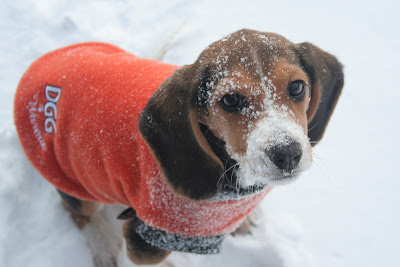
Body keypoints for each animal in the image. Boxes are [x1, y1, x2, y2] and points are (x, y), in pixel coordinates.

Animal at [14, 29, 342, 266]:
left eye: (297, 87)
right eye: (230, 100)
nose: (287, 154)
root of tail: (37, 68)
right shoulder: (146, 239)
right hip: (73, 177)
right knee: (79, 212)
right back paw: (104, 248)